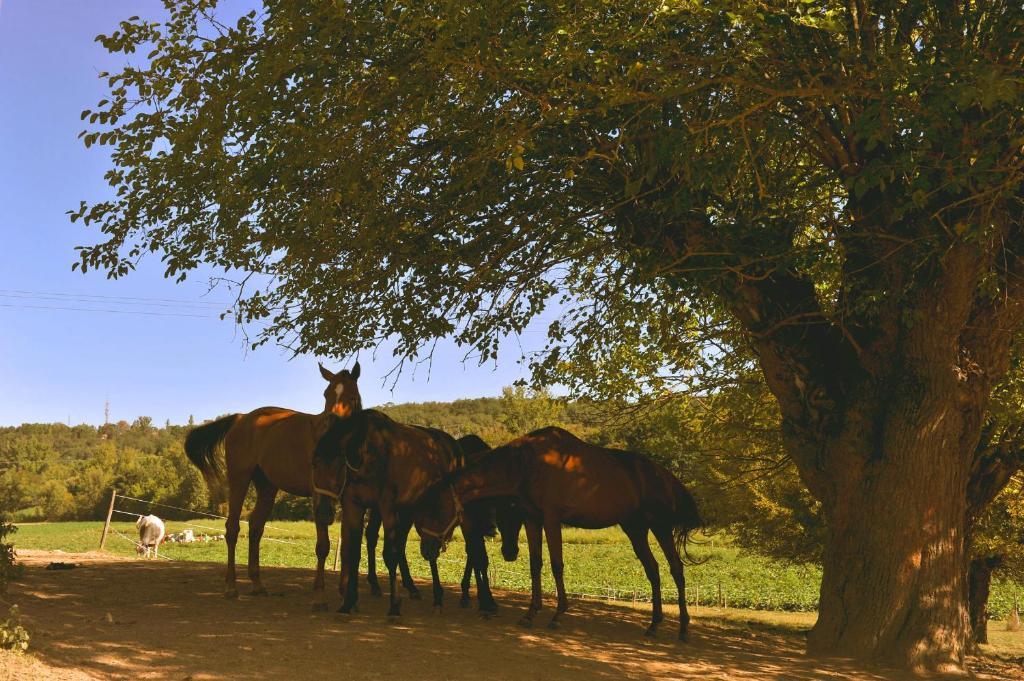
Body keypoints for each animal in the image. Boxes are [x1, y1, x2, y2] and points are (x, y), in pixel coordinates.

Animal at [186, 360, 362, 602]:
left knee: (255, 528)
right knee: (232, 529)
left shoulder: (347, 498)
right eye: (326, 394)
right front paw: (319, 594)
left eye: (352, 397)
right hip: (239, 479)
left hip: (267, 488)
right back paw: (231, 586)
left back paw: (257, 583)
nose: (329, 426)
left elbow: (348, 547)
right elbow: (323, 546)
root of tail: (241, 418)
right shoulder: (319, 495)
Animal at [309, 409, 493, 614]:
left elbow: (390, 554)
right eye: (314, 464)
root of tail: (455, 447)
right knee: (425, 549)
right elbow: (354, 553)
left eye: (338, 465)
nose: (323, 513)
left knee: (463, 549)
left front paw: (394, 607)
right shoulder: (354, 505)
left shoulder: (386, 506)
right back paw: (431, 594)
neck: (369, 454)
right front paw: (348, 602)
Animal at [413, 426, 696, 639]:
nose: (426, 549)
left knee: (676, 569)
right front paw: (530, 613)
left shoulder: (551, 519)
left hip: (660, 527)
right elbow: (535, 564)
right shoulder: (533, 519)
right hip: (636, 529)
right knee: (654, 571)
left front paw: (558, 614)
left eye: (436, 508)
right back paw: (654, 624)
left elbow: (557, 564)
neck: (527, 463)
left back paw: (683, 627)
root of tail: (663, 475)